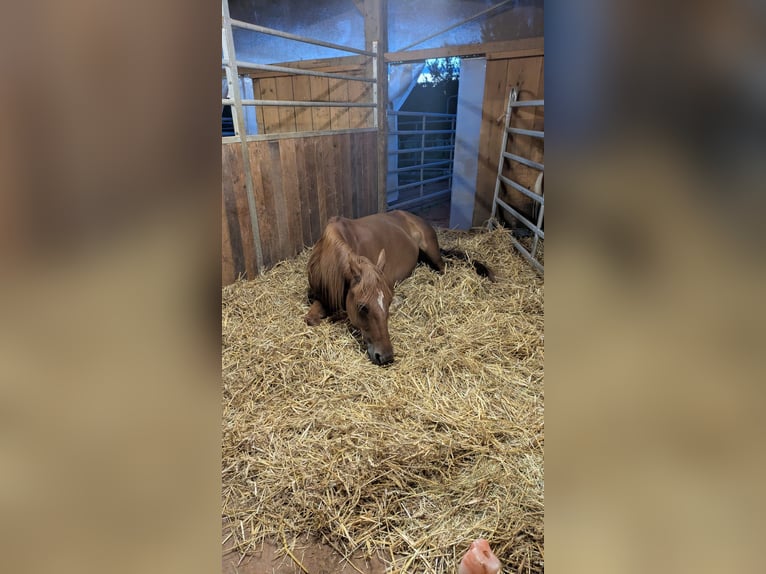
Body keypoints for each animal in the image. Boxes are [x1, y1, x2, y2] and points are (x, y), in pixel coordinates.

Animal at [305, 210, 495, 365]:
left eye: (388, 303)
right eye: (362, 307)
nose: (386, 357)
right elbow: (311, 318)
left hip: (432, 252)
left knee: (444, 269)